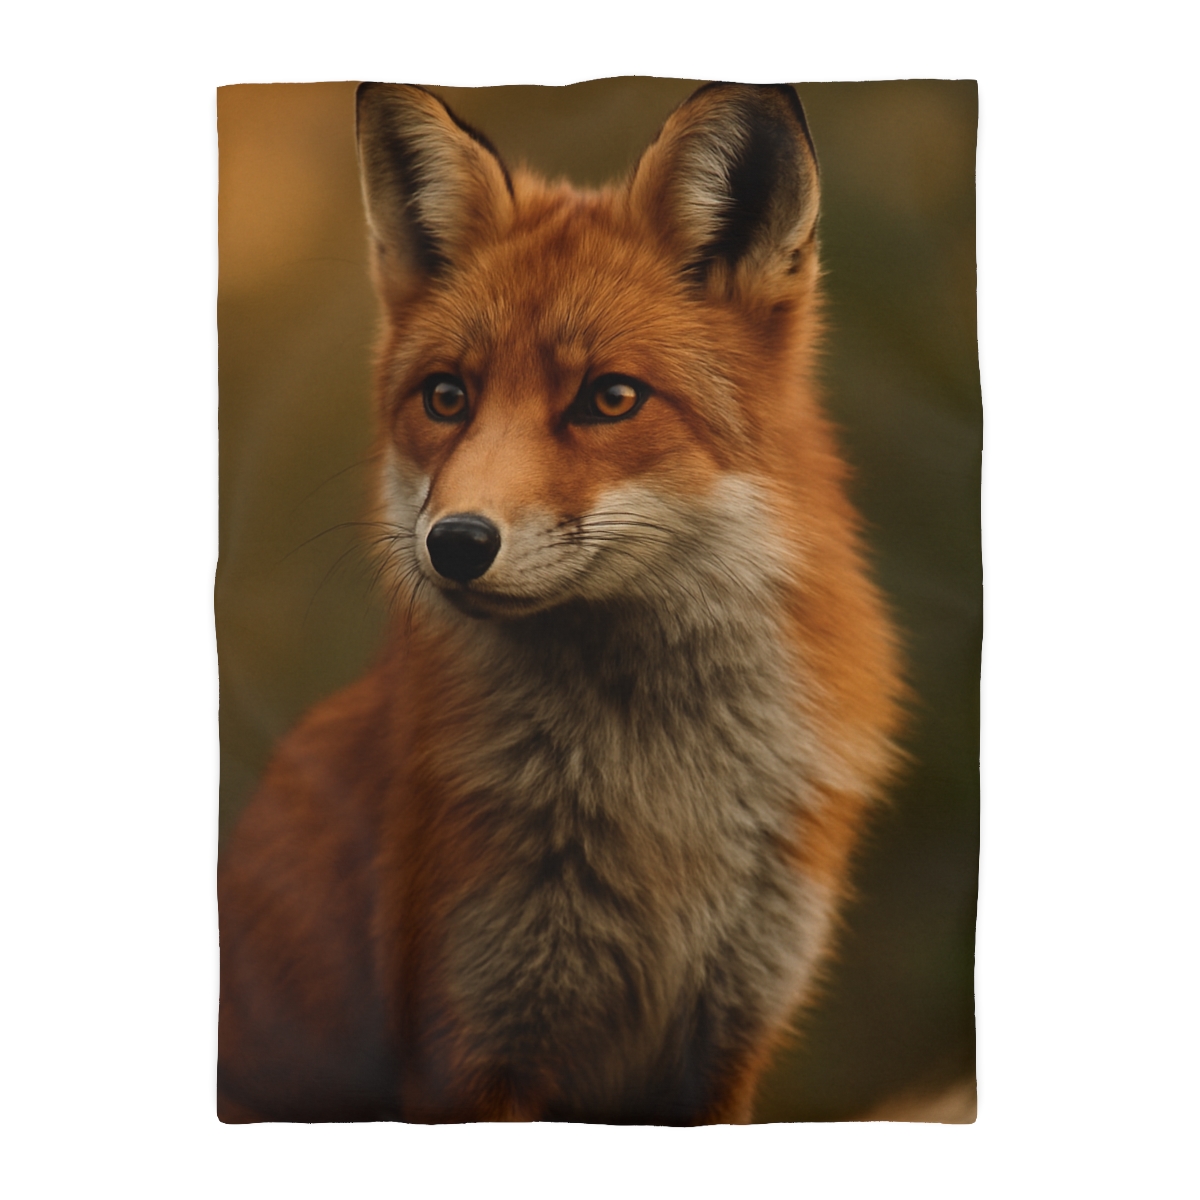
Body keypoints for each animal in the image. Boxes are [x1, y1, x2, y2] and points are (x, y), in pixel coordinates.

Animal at [217, 80, 904, 1125]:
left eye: (610, 398)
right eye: (447, 397)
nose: (456, 543)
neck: (662, 796)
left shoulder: (727, 1036)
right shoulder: (475, 1036)